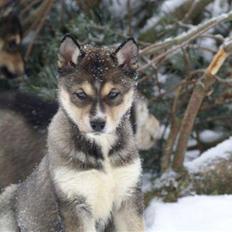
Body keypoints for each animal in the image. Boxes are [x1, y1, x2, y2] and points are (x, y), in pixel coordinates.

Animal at [0, 35, 144, 232]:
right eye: (81, 94)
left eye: (113, 94)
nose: (98, 123)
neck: (102, 150)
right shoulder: (75, 203)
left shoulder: (127, 195)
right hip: (7, 201)